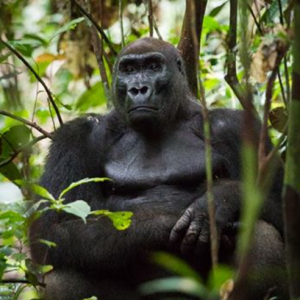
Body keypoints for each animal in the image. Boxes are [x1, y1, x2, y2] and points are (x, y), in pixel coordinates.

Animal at [29, 38, 288, 300]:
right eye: (129, 70)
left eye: (154, 67)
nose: (138, 89)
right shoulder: (76, 136)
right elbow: (52, 229)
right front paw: (170, 221)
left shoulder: (238, 128)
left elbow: (281, 208)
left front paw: (219, 201)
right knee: (62, 275)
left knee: (261, 232)